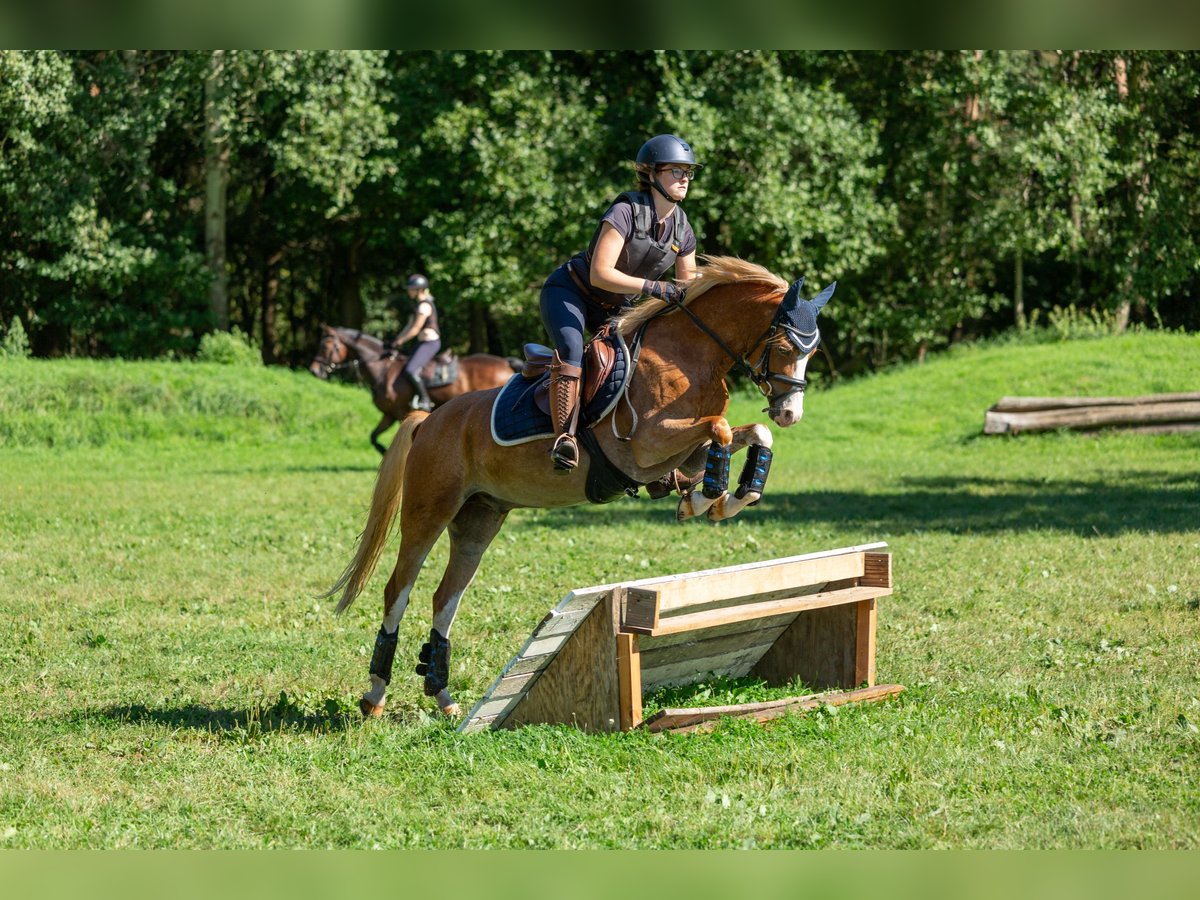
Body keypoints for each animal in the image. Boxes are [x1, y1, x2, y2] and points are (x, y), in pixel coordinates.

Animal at [307, 324, 518, 453]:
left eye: (325, 345)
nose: (314, 370)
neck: (384, 369)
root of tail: (505, 362)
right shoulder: (389, 414)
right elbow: (373, 437)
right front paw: (383, 452)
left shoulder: (401, 412)